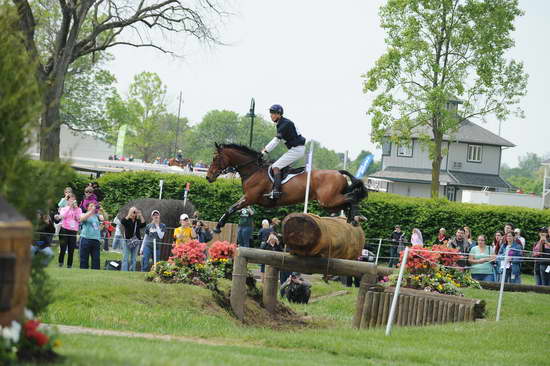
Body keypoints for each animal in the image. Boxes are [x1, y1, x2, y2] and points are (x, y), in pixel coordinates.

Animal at [206, 142, 366, 232]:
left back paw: (355, 218)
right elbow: (232, 208)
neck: (253, 170)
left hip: (327, 200)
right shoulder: (248, 199)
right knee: (347, 202)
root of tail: (339, 172)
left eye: (215, 158)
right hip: (330, 203)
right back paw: (353, 218)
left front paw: (218, 227)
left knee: (351, 198)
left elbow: (231, 208)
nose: (208, 177)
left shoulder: (249, 198)